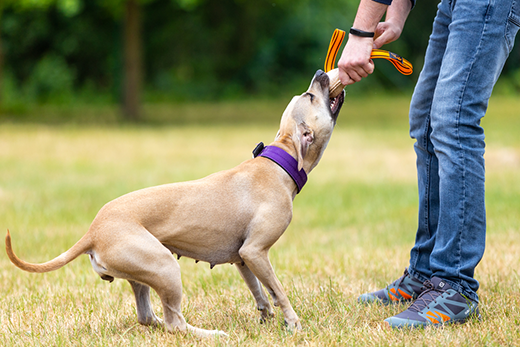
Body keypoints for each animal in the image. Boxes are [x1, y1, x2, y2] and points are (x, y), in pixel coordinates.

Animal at [6, 69, 346, 338]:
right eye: (310, 96)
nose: (320, 72)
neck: (280, 162)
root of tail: (92, 232)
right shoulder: (256, 251)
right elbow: (280, 291)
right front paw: (293, 323)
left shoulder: (244, 257)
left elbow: (260, 290)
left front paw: (267, 316)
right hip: (165, 266)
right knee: (175, 323)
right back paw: (212, 334)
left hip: (144, 273)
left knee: (148, 316)